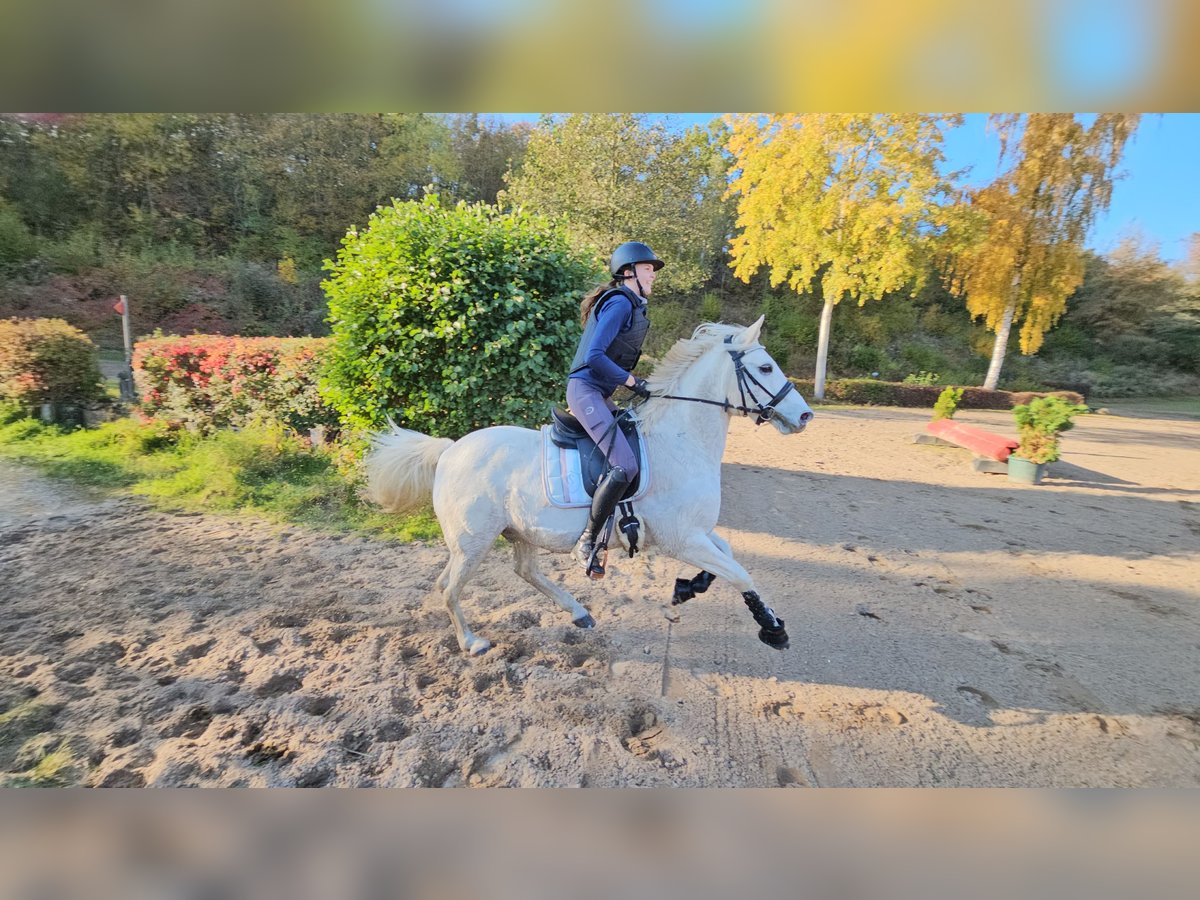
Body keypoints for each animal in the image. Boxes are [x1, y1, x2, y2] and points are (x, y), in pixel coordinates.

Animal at [362, 316, 816, 657]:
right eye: (765, 368)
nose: (805, 416)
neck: (680, 440)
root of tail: (450, 450)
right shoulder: (682, 538)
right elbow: (740, 573)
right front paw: (773, 629)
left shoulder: (696, 533)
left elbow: (728, 557)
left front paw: (686, 589)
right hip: (472, 542)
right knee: (449, 587)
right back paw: (472, 642)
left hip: (519, 531)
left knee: (525, 571)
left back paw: (578, 612)